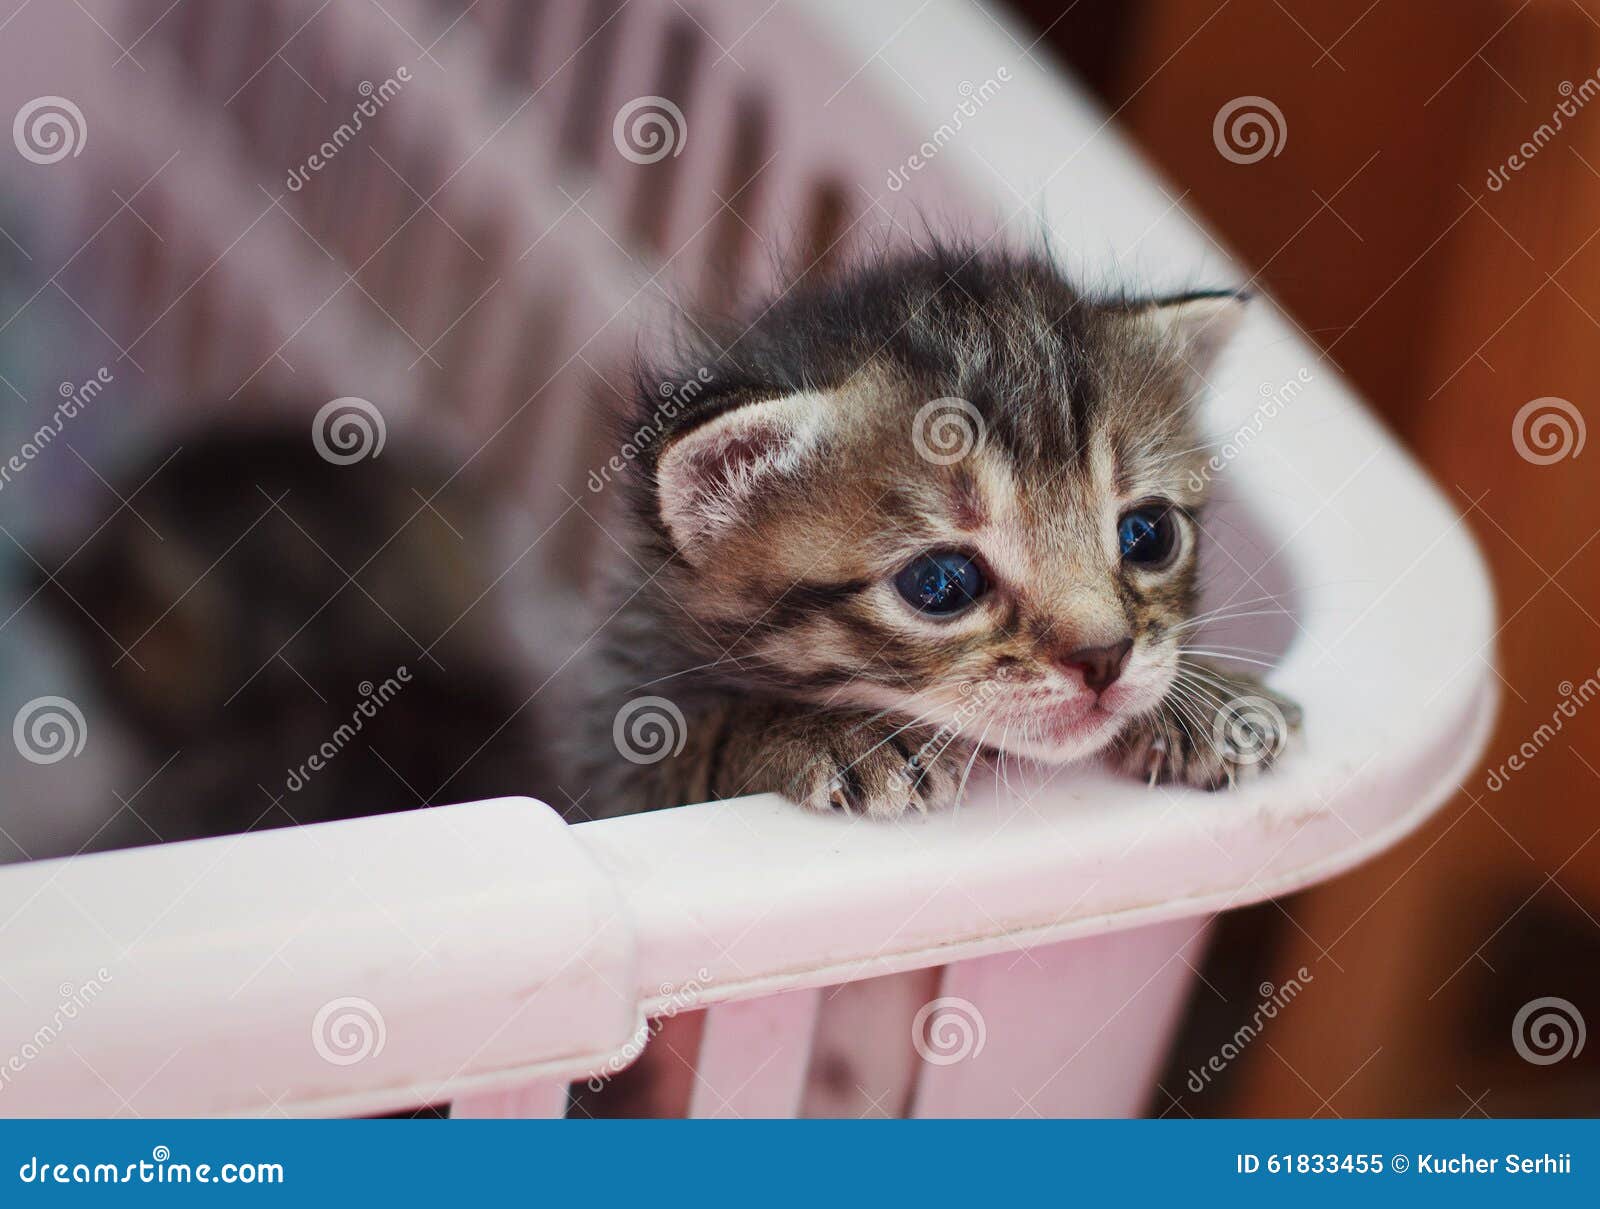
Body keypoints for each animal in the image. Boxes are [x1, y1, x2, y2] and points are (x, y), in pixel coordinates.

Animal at [582, 243, 1305, 818]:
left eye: (1149, 535)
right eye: (940, 583)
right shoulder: (622, 747)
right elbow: (701, 742)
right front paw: (824, 731)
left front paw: (1204, 699)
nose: (1104, 656)